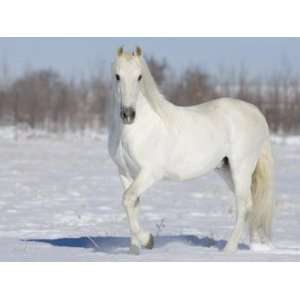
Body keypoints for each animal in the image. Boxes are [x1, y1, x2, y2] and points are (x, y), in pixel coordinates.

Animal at [108, 46, 274, 253]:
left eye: (139, 77)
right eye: (117, 76)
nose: (128, 114)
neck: (136, 129)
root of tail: (256, 111)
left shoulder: (150, 173)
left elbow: (128, 199)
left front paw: (148, 241)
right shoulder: (124, 172)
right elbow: (132, 204)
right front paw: (134, 251)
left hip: (241, 169)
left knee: (244, 205)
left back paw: (228, 250)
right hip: (226, 170)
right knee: (250, 203)